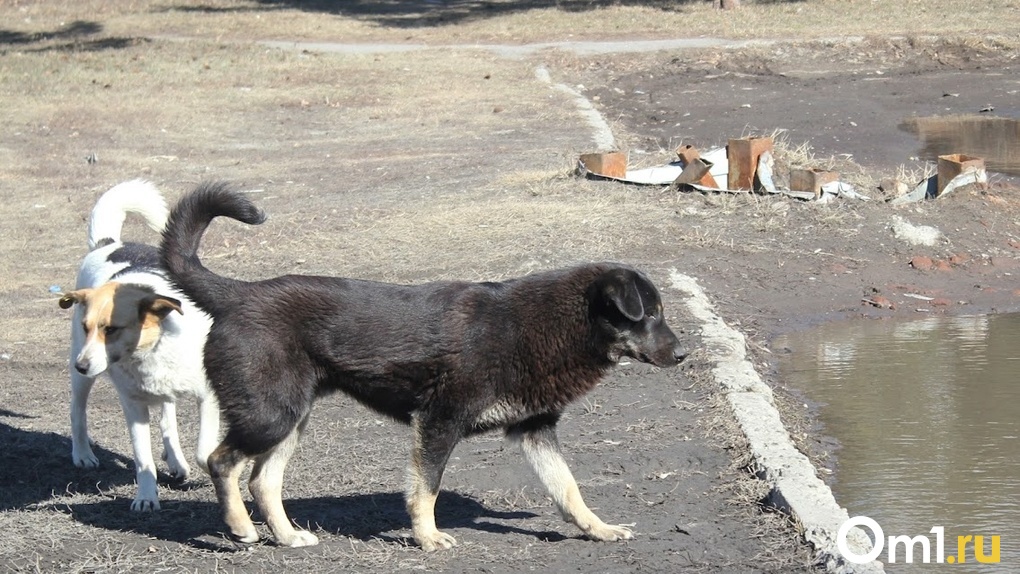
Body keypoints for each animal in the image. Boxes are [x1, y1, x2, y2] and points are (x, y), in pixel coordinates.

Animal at [59, 180, 219, 511]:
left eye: (112, 329)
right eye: (87, 327)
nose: (81, 365)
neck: (149, 353)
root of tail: (109, 243)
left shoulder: (208, 395)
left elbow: (203, 449)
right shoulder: (133, 405)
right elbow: (143, 458)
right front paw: (146, 497)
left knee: (168, 419)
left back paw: (176, 460)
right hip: (82, 376)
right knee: (77, 411)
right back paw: (82, 454)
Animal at [159, 181, 685, 550]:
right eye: (649, 314)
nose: (683, 355)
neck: (552, 324)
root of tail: (239, 293)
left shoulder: (534, 430)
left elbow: (569, 489)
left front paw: (599, 529)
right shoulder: (438, 421)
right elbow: (426, 489)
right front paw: (428, 538)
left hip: (291, 418)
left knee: (262, 481)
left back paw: (287, 537)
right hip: (269, 416)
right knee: (220, 462)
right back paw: (240, 528)